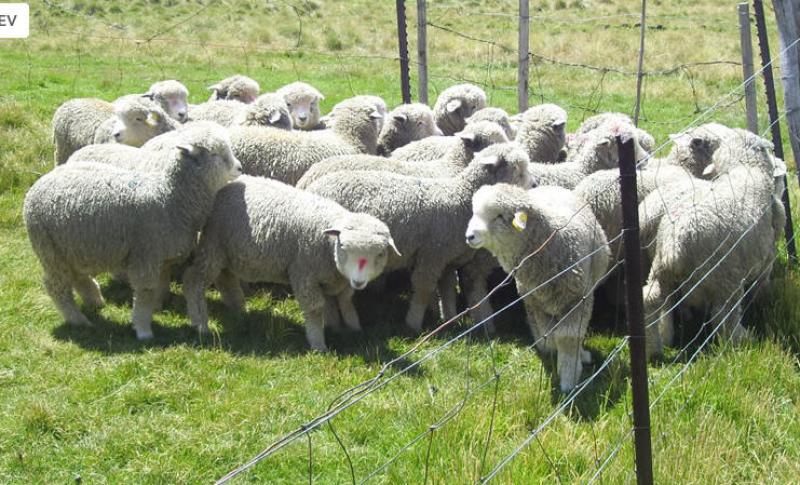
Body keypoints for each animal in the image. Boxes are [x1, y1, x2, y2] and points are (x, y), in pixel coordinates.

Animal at [23, 125, 242, 338]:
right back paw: (77, 319)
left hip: (73, 247)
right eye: (214, 154)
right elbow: (145, 291)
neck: (170, 196)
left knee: (78, 276)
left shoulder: (162, 256)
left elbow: (159, 287)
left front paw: (156, 309)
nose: (239, 167)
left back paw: (95, 301)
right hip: (49, 249)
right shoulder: (146, 254)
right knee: (57, 286)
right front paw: (143, 329)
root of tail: (37, 185)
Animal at [181, 176, 400, 350]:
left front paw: (351, 328)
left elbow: (342, 301)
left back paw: (238, 309)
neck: (328, 244)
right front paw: (318, 343)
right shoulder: (304, 273)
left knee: (225, 278)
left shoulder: (332, 278)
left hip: (226, 251)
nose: (359, 282)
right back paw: (200, 324)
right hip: (213, 243)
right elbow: (315, 308)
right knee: (194, 280)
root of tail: (227, 183)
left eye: (380, 254)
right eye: (343, 247)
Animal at [466, 183, 608, 392]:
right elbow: (551, 336)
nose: (469, 236)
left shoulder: (577, 300)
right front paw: (560, 361)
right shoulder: (537, 304)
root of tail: (550, 186)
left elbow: (568, 337)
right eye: (475, 212)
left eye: (499, 216)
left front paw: (568, 379)